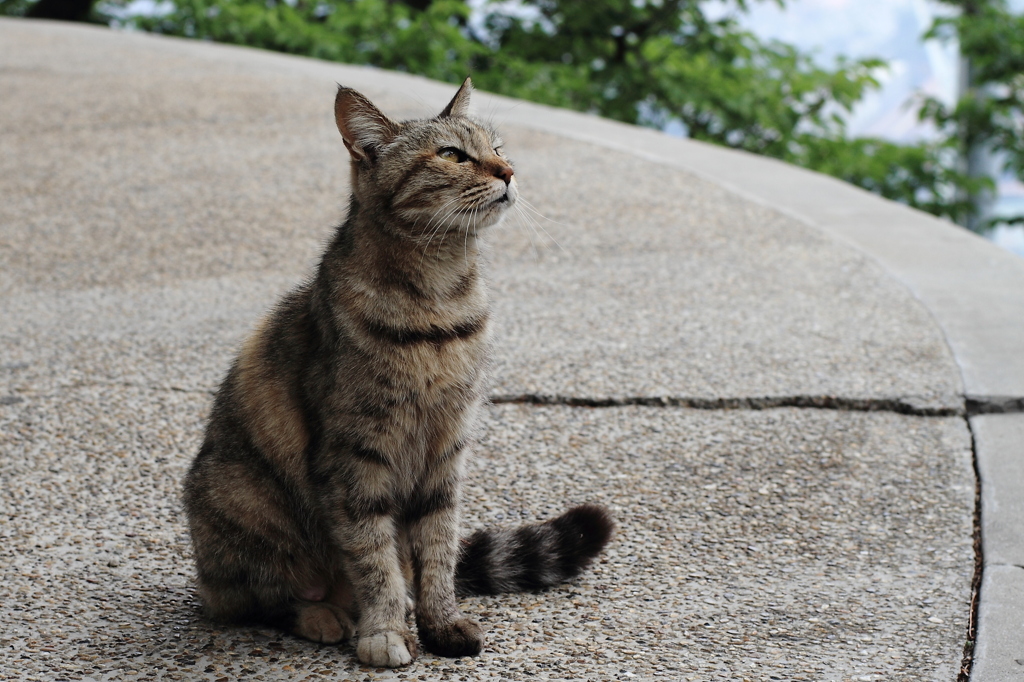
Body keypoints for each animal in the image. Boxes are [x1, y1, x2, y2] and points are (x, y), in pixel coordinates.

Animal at [183, 78, 610, 663]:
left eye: (497, 148)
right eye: (452, 155)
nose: (508, 171)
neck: (437, 303)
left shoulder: (446, 449)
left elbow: (437, 549)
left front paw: (439, 621)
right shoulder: (354, 458)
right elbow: (373, 556)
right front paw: (384, 631)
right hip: (242, 503)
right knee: (259, 599)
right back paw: (325, 615)